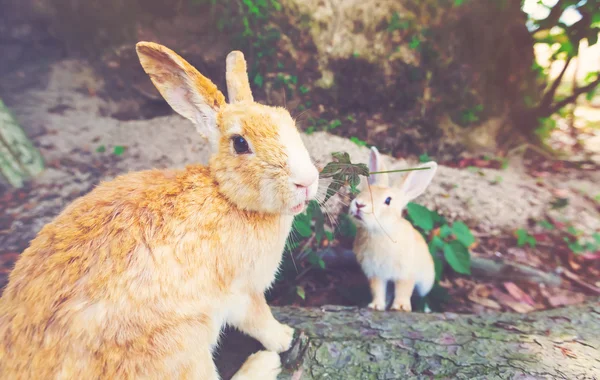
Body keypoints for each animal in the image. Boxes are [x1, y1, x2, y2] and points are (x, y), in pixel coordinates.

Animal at [0, 42, 318, 380]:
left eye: (288, 121)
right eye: (241, 143)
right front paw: (285, 338)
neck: (226, 196)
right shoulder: (241, 292)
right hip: (180, 342)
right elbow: (259, 319)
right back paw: (263, 363)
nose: (307, 181)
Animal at [346, 147, 436, 310]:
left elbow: (403, 291)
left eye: (388, 200)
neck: (379, 232)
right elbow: (377, 290)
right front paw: (376, 306)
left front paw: (400, 307)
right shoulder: (376, 274)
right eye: (364, 191)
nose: (359, 204)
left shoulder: (405, 274)